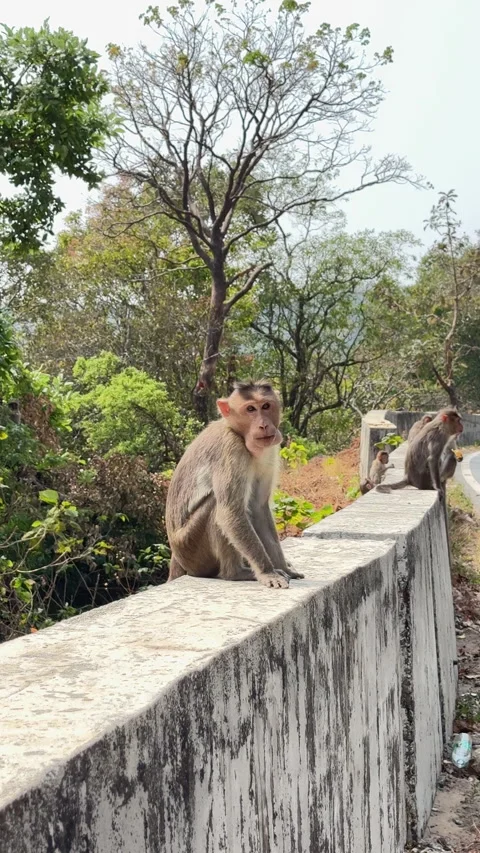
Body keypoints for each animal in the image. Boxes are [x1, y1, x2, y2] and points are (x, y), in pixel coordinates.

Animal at [165, 380, 304, 589]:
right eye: (250, 409)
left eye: (266, 406)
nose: (264, 425)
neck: (239, 434)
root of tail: (177, 556)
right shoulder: (230, 449)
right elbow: (230, 512)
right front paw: (268, 572)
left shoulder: (270, 450)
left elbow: (258, 508)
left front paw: (283, 568)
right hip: (191, 547)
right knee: (217, 506)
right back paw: (235, 573)